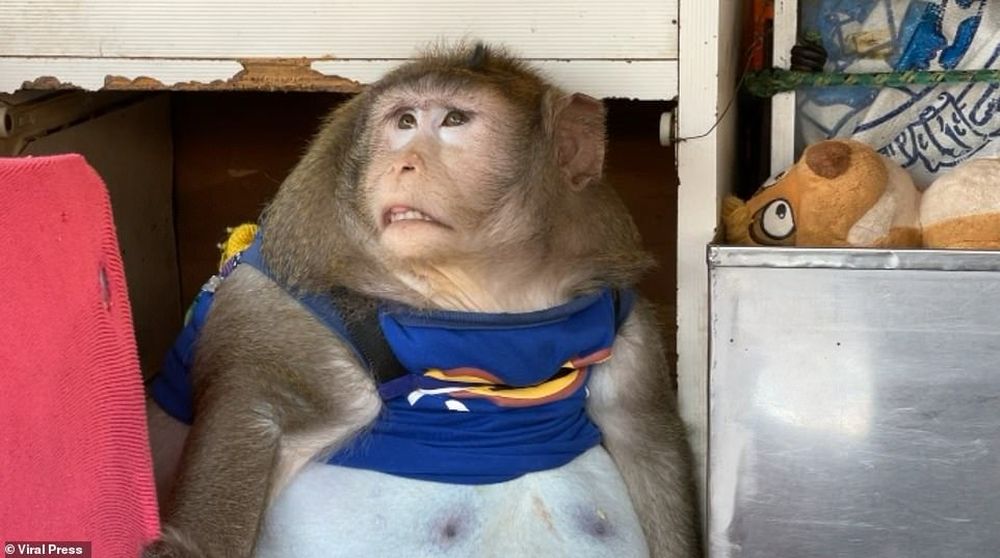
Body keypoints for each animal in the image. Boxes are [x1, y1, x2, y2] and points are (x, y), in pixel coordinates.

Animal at [145, 42, 700, 558]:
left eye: (453, 119)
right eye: (405, 121)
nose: (402, 164)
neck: (489, 292)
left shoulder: (619, 300)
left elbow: (642, 431)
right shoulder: (277, 306)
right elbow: (253, 422)